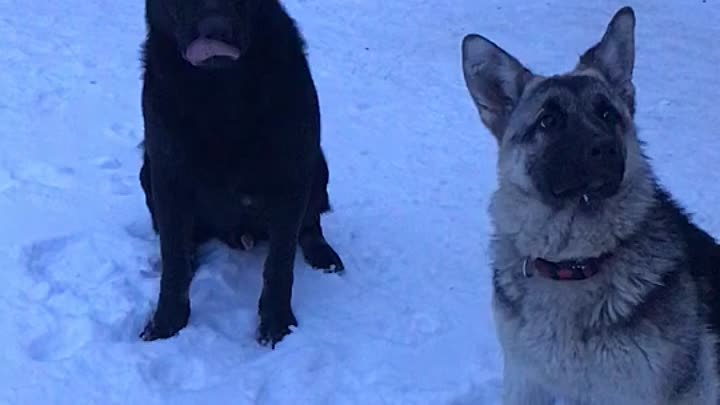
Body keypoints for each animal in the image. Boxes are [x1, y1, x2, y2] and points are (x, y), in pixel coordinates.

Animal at [140, 0, 346, 348]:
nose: (215, 31)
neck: (220, 93)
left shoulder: (292, 174)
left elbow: (279, 265)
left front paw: (277, 324)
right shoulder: (168, 176)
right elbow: (173, 259)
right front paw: (167, 322)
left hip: (317, 165)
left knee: (310, 224)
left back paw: (322, 253)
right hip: (146, 171)